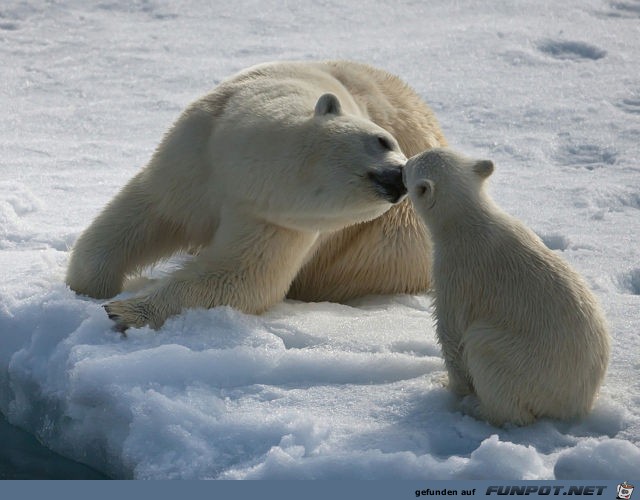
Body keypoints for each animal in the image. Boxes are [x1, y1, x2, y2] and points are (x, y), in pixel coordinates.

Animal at [65, 60, 444, 330]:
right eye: (382, 140)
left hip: (391, 249)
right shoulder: (197, 154)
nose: (400, 178)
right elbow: (149, 212)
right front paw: (88, 290)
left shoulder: (276, 221)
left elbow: (240, 276)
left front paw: (124, 310)